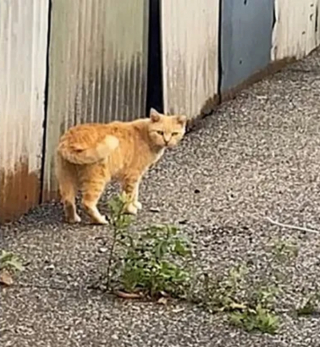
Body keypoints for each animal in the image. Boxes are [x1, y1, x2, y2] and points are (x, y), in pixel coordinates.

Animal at [54, 109, 186, 226]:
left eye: (174, 134)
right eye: (160, 132)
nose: (167, 141)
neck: (146, 135)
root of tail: (70, 138)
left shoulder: (132, 177)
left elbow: (134, 193)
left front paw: (134, 204)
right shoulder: (133, 175)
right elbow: (130, 194)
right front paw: (130, 209)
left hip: (66, 178)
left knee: (68, 200)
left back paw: (73, 219)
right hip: (97, 180)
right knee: (87, 203)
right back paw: (100, 220)